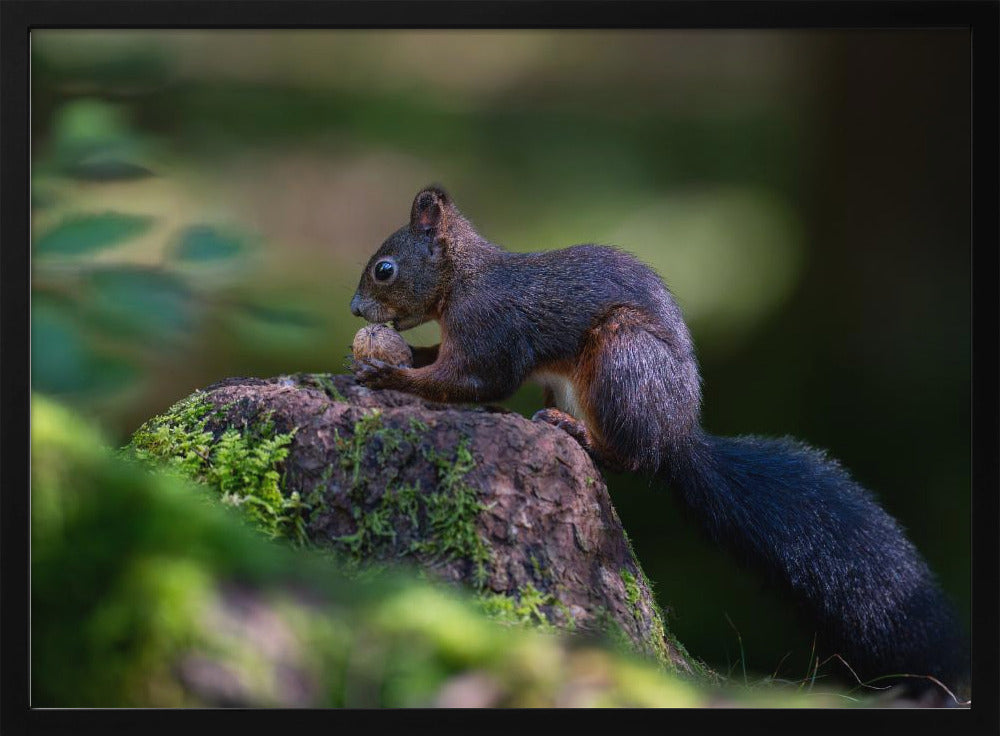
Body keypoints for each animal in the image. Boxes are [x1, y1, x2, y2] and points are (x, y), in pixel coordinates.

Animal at [349, 186, 968, 698]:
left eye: (384, 269)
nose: (355, 310)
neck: (465, 280)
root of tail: (678, 435)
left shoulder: (490, 330)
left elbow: (475, 381)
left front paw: (390, 375)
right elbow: (445, 364)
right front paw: (387, 356)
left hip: (623, 361)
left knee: (632, 458)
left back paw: (578, 432)